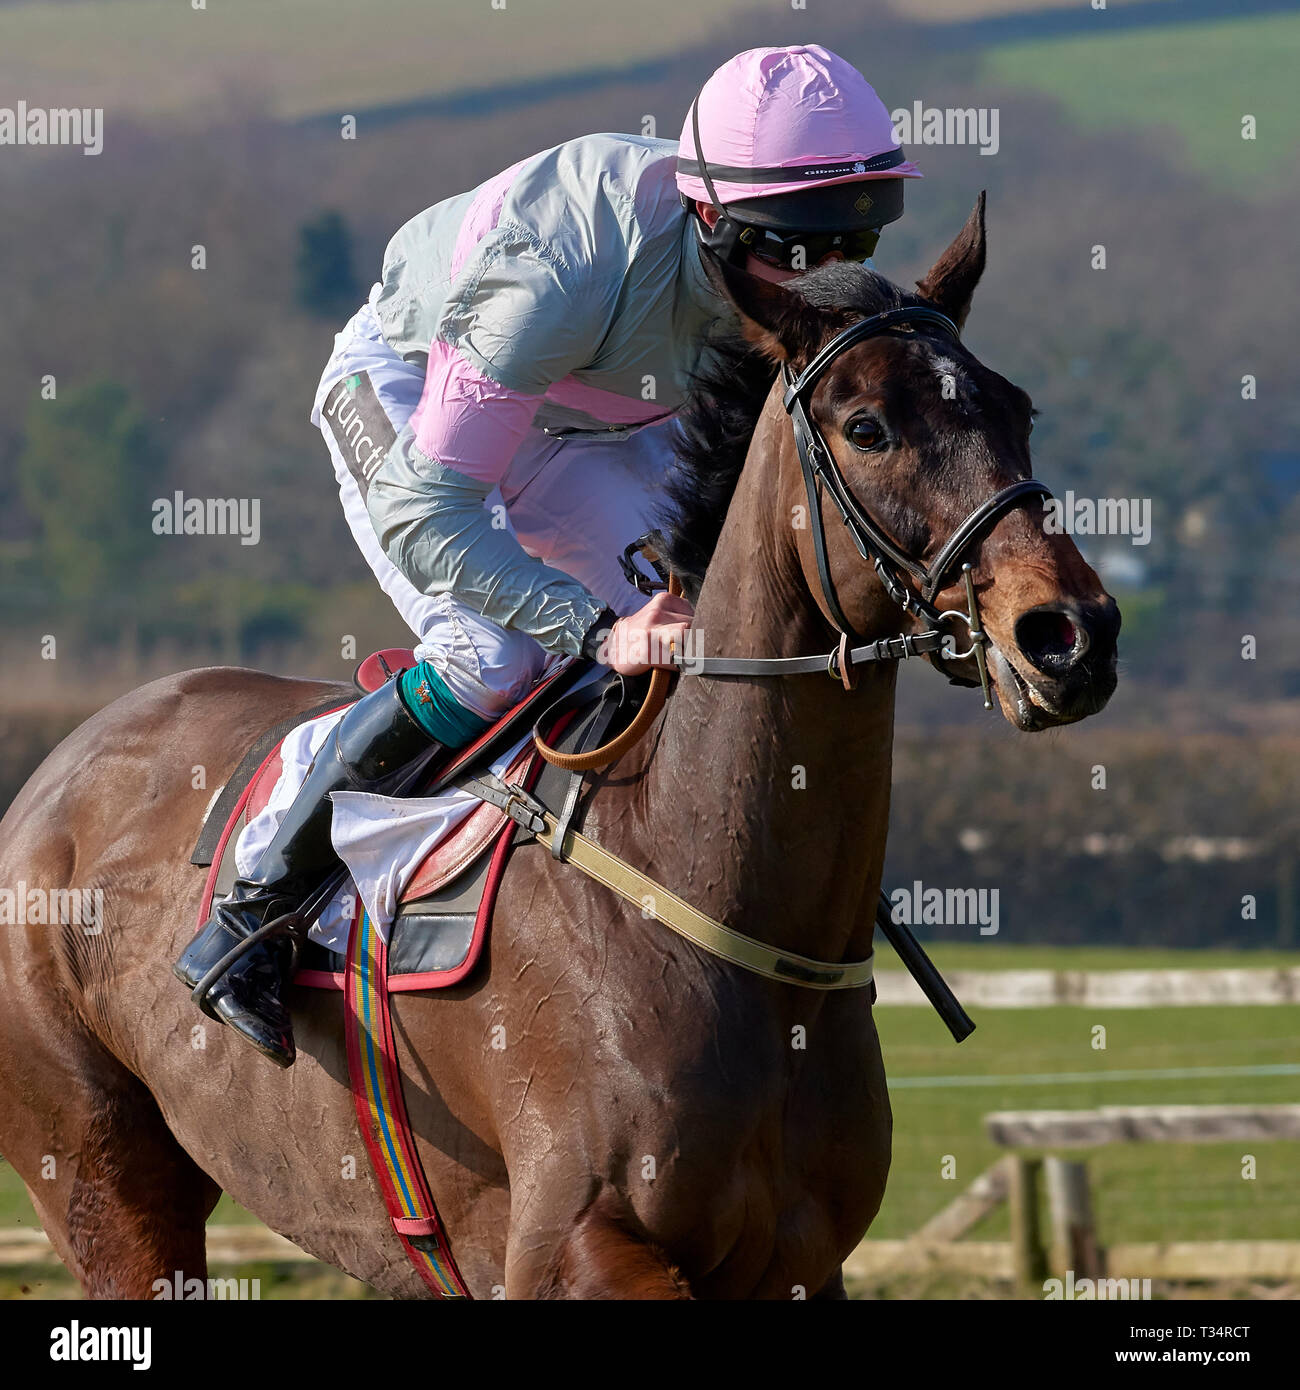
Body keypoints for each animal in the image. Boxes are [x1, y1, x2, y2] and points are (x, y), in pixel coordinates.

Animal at [0, 198, 1117, 1301]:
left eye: (1016, 410)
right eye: (867, 427)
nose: (1069, 634)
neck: (716, 901)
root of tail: (54, 778)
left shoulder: (800, 1264)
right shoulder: (576, 1244)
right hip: (104, 1177)